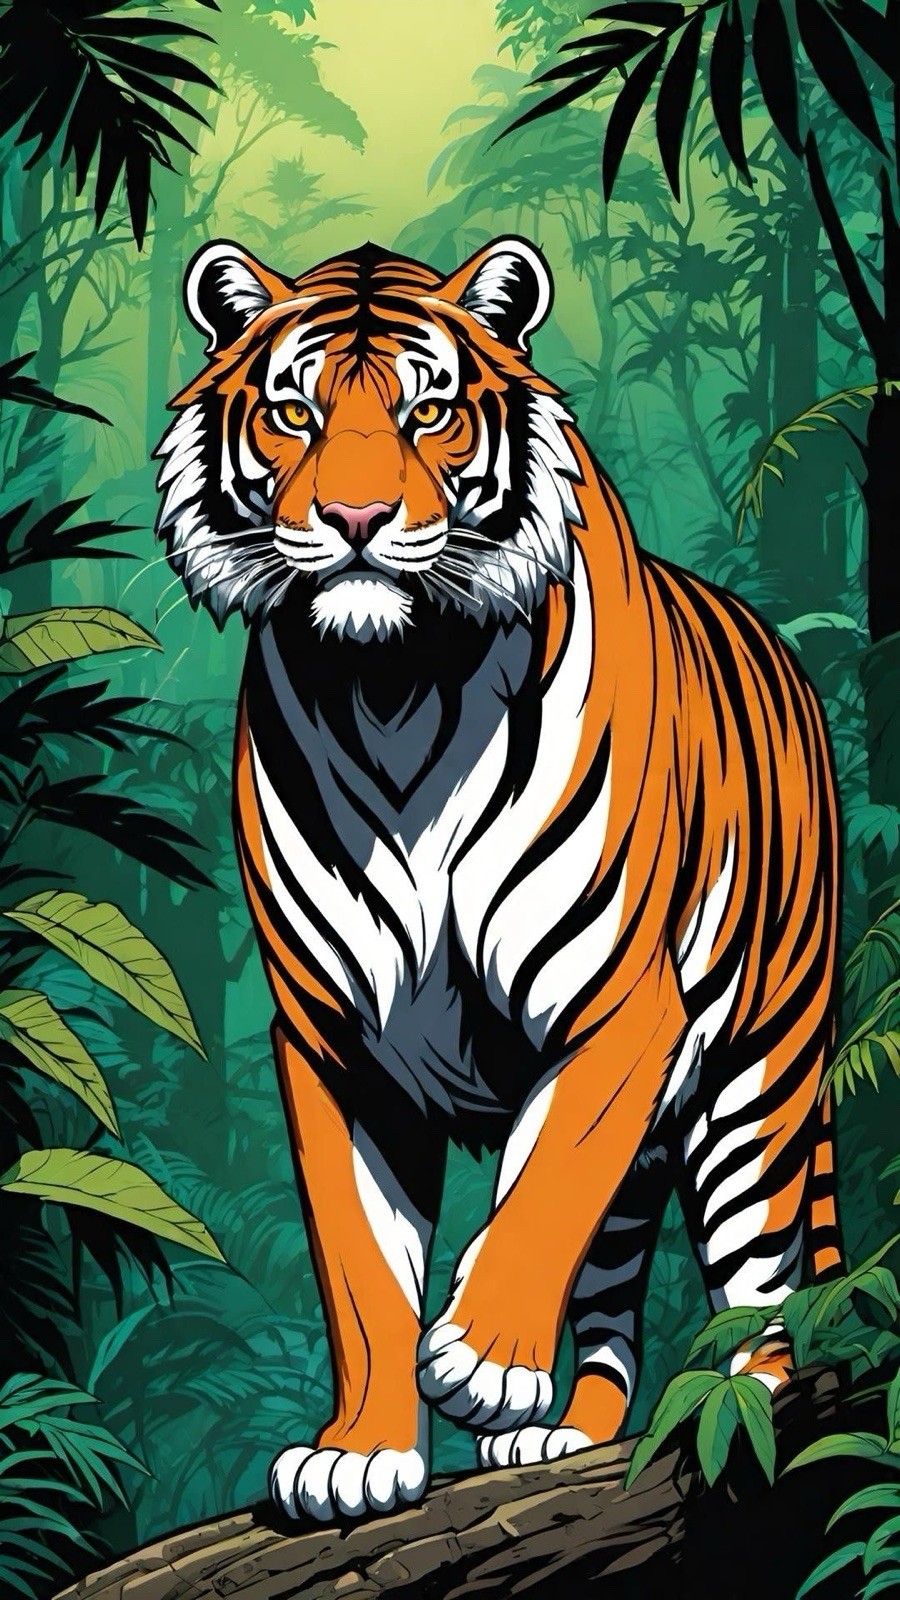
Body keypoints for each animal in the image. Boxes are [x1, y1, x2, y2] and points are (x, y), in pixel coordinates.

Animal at [155, 233, 842, 1524]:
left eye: (427, 412)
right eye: (292, 410)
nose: (356, 517)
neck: (391, 691)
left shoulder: (622, 1006)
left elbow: (544, 1183)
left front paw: (481, 1353)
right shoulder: (333, 1039)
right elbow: (363, 1268)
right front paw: (361, 1450)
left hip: (757, 1079)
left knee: (767, 1288)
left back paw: (739, 1404)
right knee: (617, 1288)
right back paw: (572, 1430)